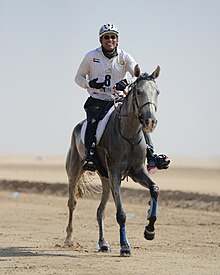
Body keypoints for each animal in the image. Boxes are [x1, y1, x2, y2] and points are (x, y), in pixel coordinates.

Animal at [65, 64, 160, 256]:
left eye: (157, 92)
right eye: (139, 92)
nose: (150, 122)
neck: (128, 134)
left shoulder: (137, 172)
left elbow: (154, 189)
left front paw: (149, 230)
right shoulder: (115, 173)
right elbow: (121, 214)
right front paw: (125, 246)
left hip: (105, 179)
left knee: (100, 211)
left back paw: (102, 243)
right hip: (75, 172)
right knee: (72, 203)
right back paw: (69, 238)